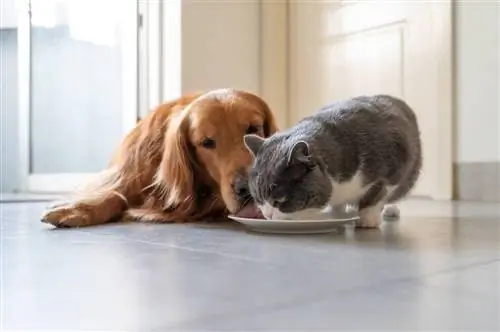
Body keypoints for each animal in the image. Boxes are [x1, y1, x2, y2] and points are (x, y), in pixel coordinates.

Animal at [41, 89, 278, 228]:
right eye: (206, 142)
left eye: (253, 128)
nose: (247, 188)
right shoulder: (129, 172)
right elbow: (115, 194)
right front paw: (77, 209)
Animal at [244, 94, 420, 227]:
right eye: (258, 198)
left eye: (280, 201)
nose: (268, 215)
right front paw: (335, 213)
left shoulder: (396, 163)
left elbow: (378, 193)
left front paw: (367, 217)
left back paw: (390, 210)